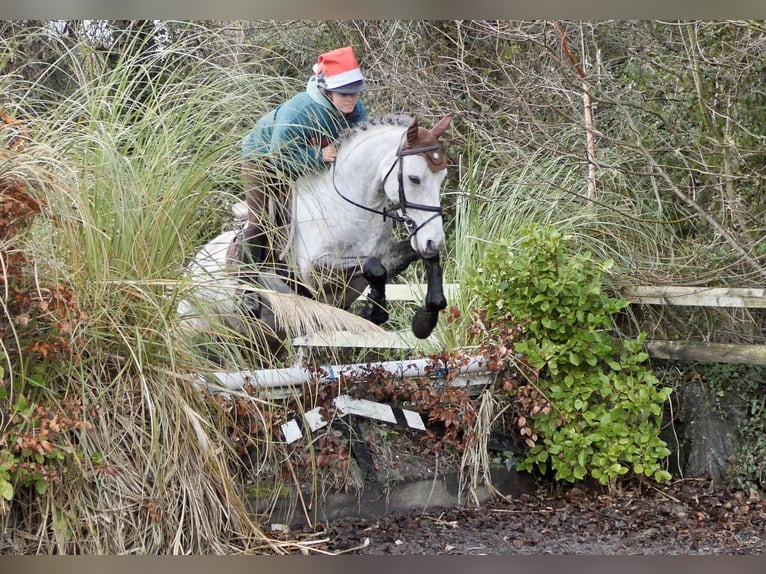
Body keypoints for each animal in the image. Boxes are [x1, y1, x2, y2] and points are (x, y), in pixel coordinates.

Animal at [177, 113, 453, 353]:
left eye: (442, 177)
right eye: (414, 178)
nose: (434, 239)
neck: (349, 205)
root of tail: (190, 270)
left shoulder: (385, 256)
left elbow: (406, 260)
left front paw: (424, 319)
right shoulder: (314, 272)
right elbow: (374, 267)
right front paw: (374, 312)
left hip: (263, 343)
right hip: (199, 335)